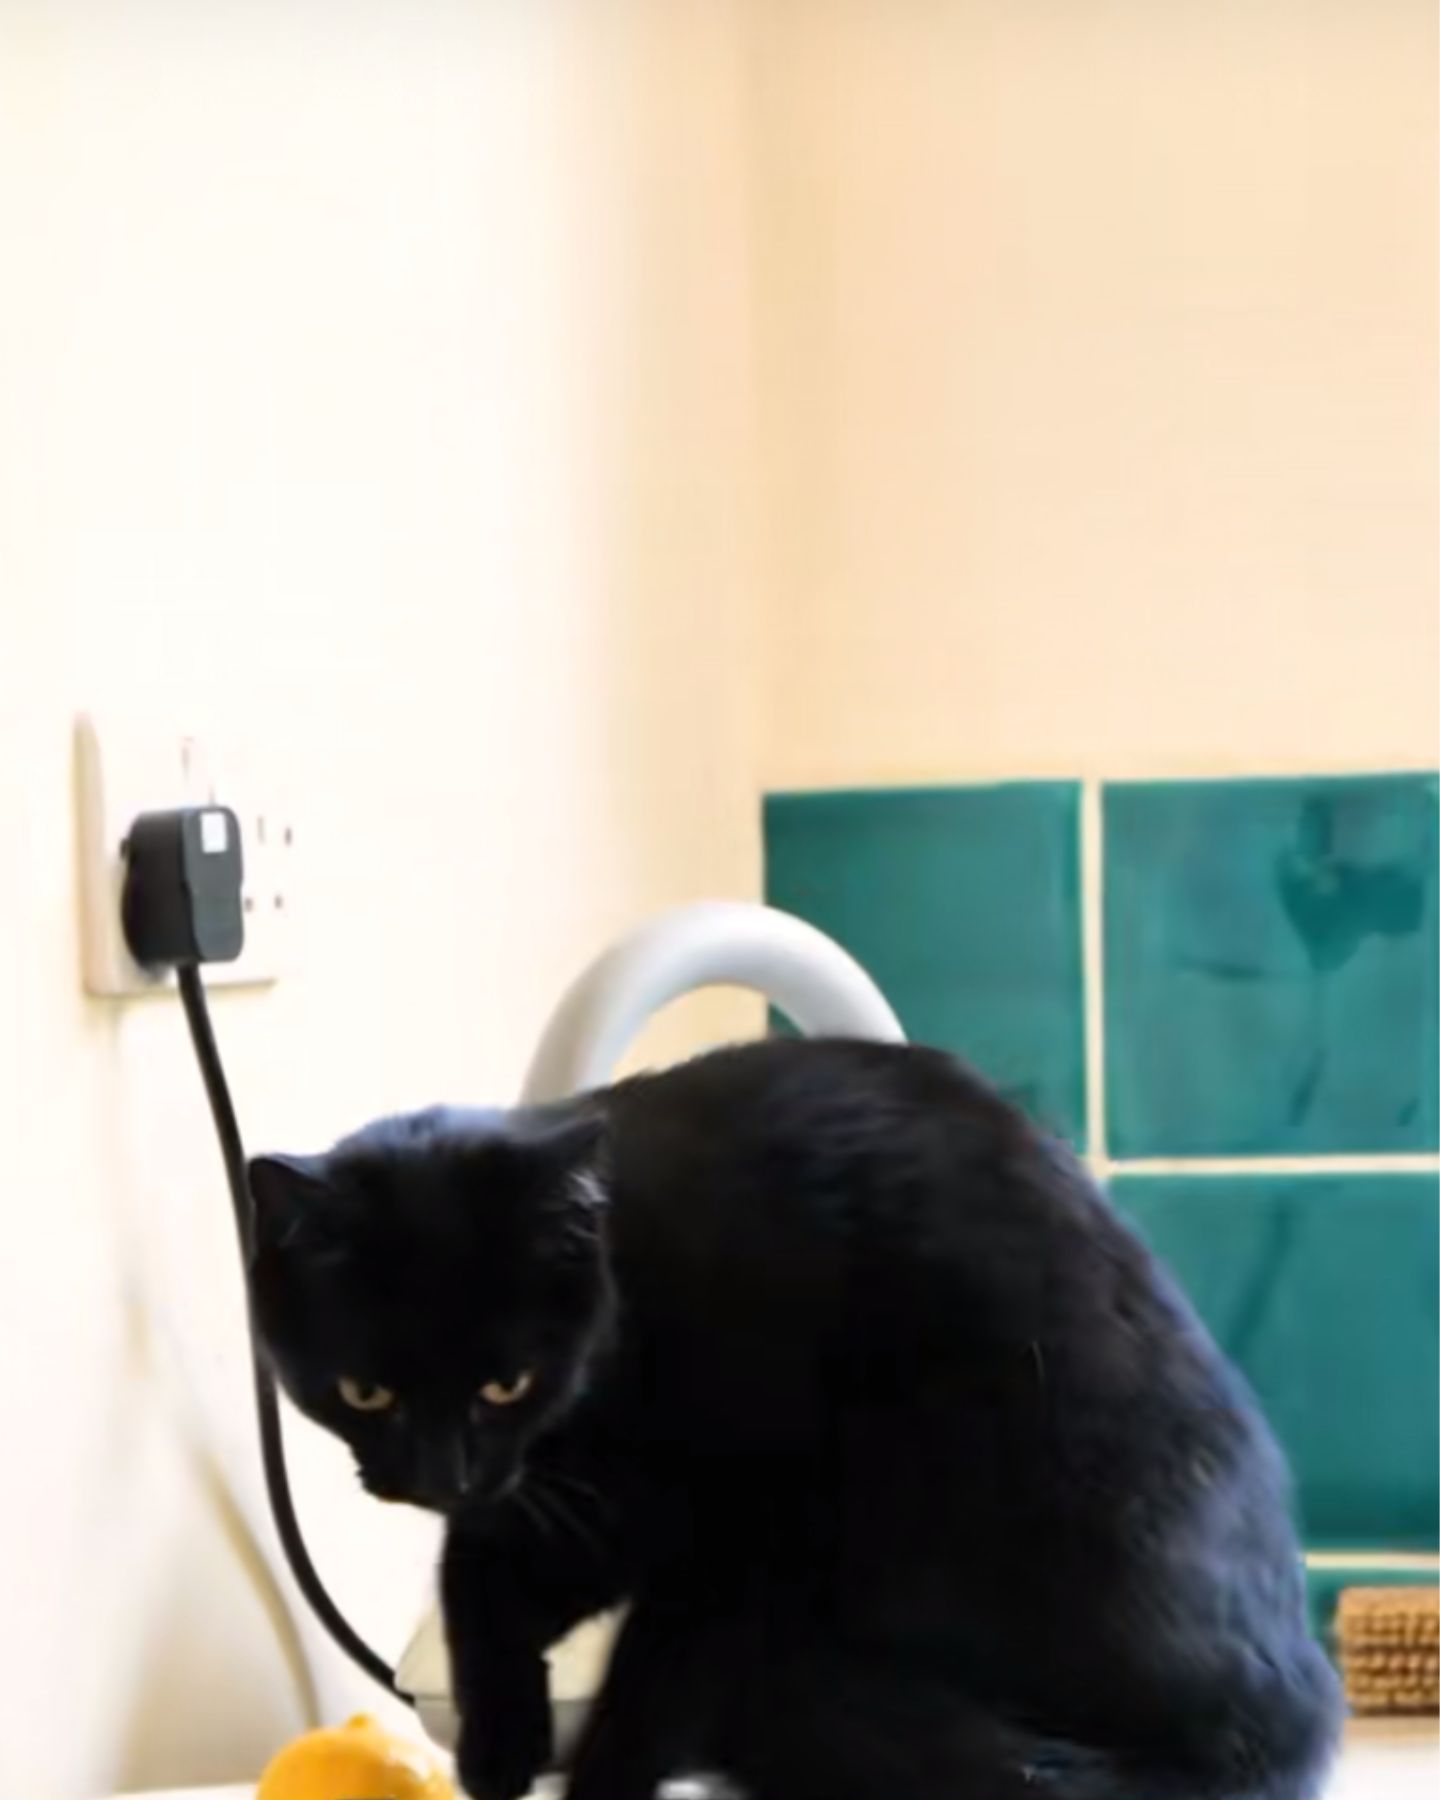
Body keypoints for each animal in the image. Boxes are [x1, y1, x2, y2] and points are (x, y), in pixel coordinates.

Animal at [248, 1044, 1339, 1800]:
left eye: (504, 1384)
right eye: (364, 1393)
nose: (438, 1476)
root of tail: (1297, 1708)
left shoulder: (739, 1539)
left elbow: (650, 1684)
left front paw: (594, 1779)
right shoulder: (573, 1502)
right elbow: (477, 1584)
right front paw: (498, 1749)